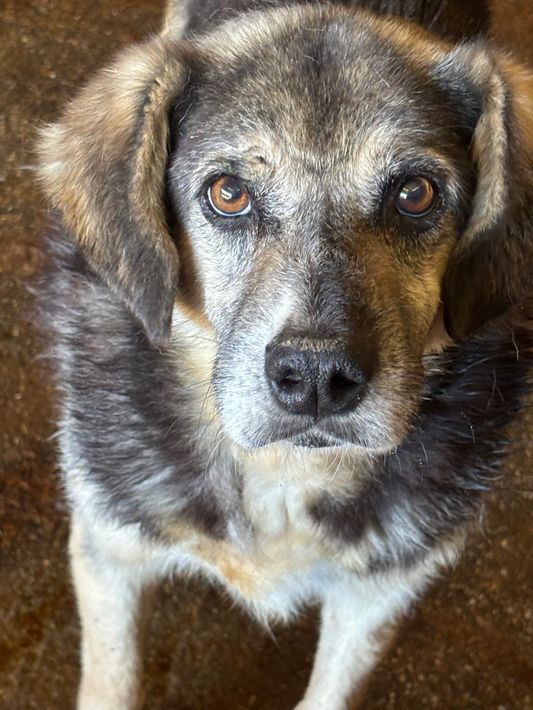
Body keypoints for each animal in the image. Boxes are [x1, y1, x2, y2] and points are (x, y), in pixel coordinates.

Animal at [36, 0, 533, 707]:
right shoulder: (108, 550)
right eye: (228, 193)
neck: (283, 472)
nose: (318, 376)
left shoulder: (379, 594)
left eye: (415, 194)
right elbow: (111, 681)